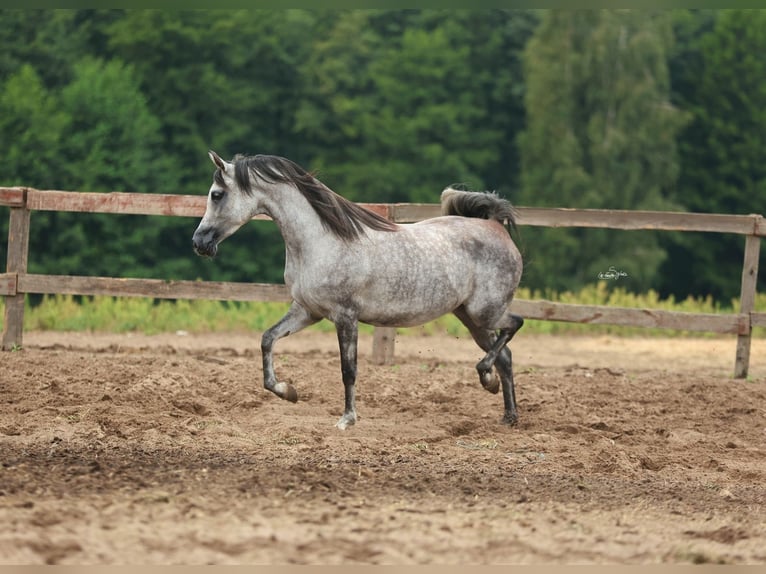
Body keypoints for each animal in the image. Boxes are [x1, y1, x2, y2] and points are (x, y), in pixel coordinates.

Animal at [195, 151, 524, 430]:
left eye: (217, 194)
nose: (199, 242)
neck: (321, 242)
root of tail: (495, 226)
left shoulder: (345, 317)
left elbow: (348, 369)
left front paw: (347, 419)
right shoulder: (307, 312)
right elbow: (267, 339)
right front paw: (288, 391)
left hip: (485, 312)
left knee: (514, 326)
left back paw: (486, 377)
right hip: (470, 317)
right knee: (506, 356)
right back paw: (507, 413)